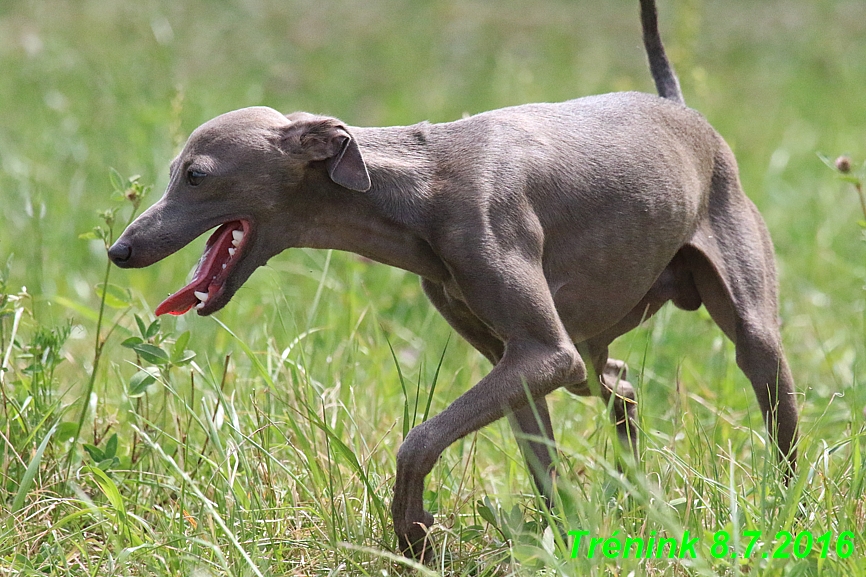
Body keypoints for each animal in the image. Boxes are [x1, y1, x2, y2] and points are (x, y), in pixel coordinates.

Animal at [109, 0, 796, 560]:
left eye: (196, 174)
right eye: (174, 171)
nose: (120, 249)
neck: (417, 188)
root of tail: (682, 110)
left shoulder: (541, 353)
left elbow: (417, 441)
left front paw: (414, 533)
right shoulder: (520, 362)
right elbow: (540, 463)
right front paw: (553, 542)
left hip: (749, 329)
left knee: (768, 394)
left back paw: (783, 511)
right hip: (591, 347)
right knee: (621, 384)